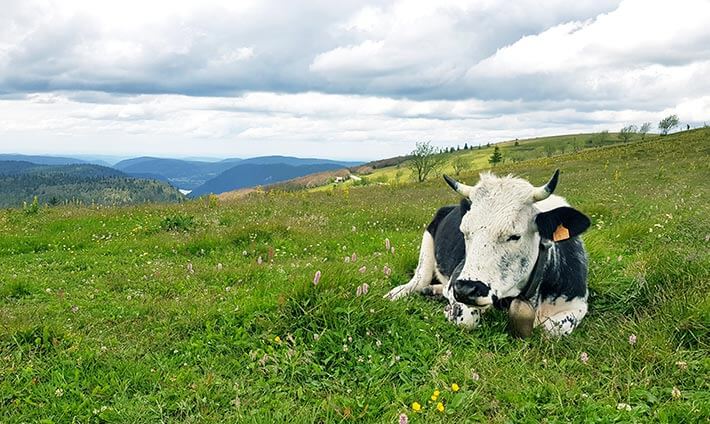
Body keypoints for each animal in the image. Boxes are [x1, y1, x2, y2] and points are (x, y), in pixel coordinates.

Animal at [386, 169, 592, 338]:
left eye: (514, 236)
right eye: (464, 231)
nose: (466, 289)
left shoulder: (579, 303)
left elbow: (551, 329)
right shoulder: (457, 281)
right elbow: (467, 318)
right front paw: (449, 310)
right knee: (418, 280)